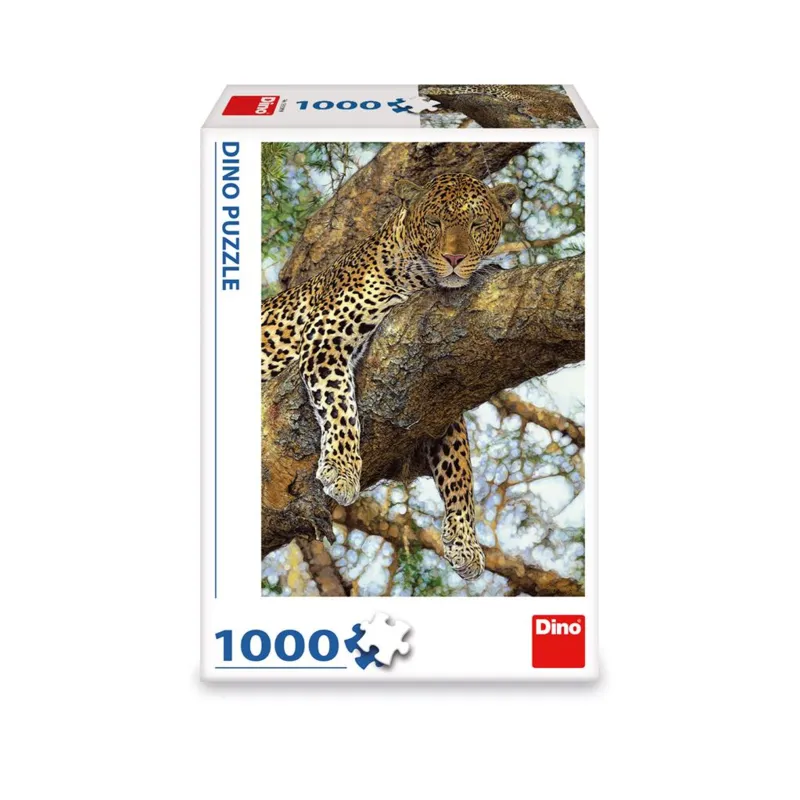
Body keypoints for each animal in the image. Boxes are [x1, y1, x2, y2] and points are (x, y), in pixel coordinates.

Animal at [262, 173, 518, 580]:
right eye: (435, 223)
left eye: (477, 226)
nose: (455, 259)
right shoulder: (325, 333)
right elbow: (341, 406)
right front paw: (342, 471)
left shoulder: (439, 396)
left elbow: (460, 465)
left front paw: (464, 541)